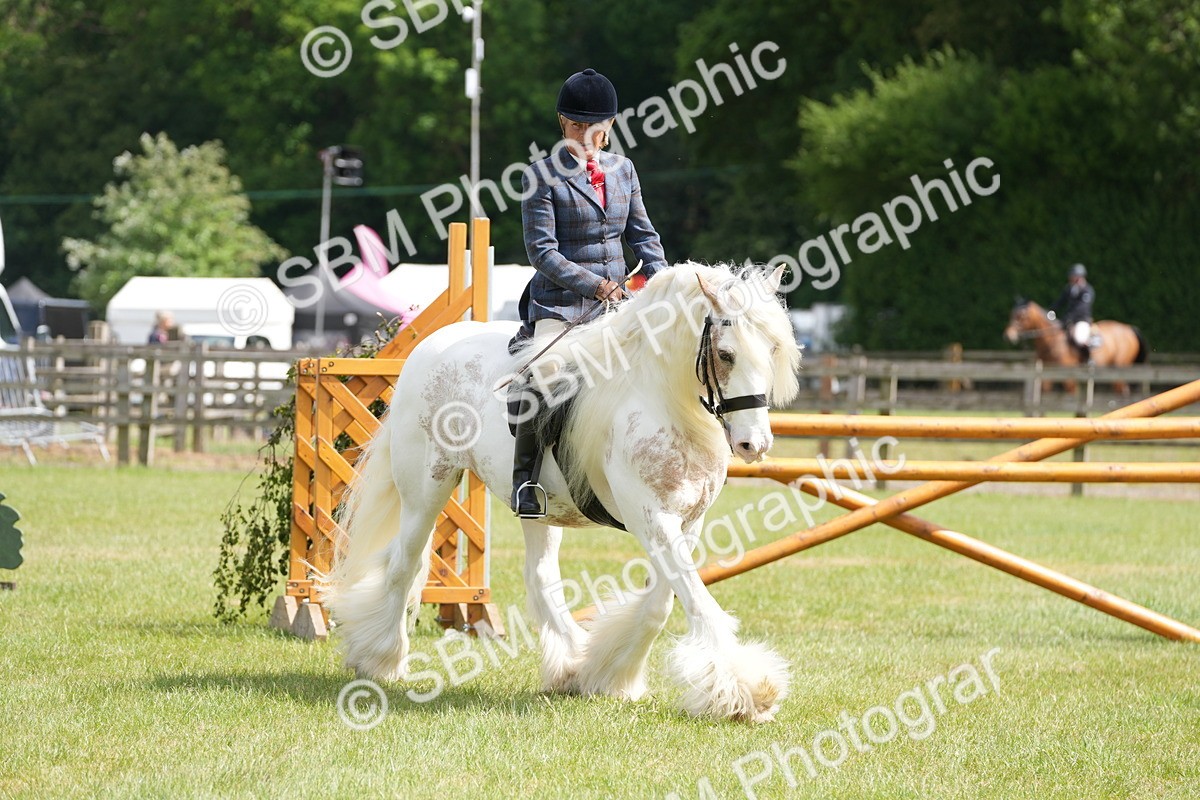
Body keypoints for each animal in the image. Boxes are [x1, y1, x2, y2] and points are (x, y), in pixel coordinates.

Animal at [319, 262, 803, 723]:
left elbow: (660, 602)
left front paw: (609, 674)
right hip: (427, 486)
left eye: (773, 351)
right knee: (404, 565)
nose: (754, 445)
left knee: (538, 576)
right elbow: (694, 602)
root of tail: (431, 344)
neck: (664, 400)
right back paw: (381, 659)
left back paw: (569, 666)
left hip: (537, 507)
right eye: (725, 354)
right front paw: (747, 693)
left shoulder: (687, 522)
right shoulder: (649, 516)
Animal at [1003, 298, 1146, 394]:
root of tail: (1129, 328)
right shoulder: (1046, 374)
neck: (1052, 340)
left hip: (1120, 367)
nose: (1008, 336)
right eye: (1011, 314)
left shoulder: (1069, 376)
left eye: (1021, 316)